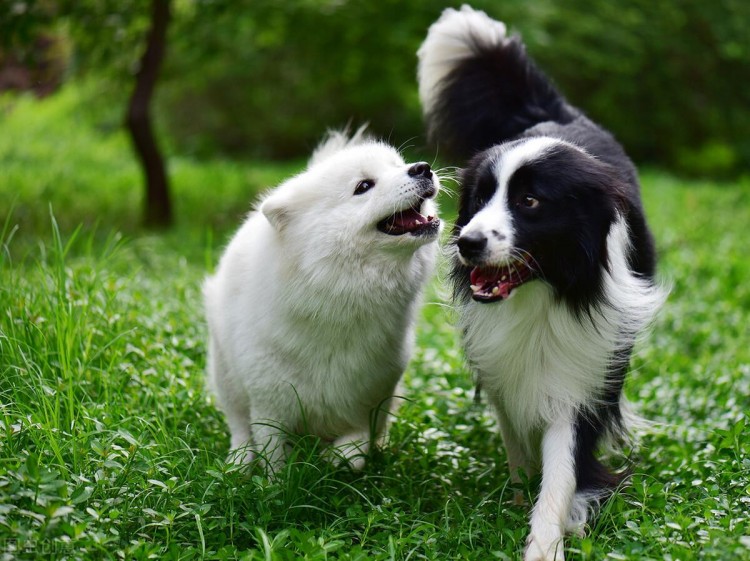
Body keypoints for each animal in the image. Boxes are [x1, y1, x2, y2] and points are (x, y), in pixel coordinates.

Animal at [203, 129, 444, 470]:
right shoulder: (268, 398)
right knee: (238, 423)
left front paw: (338, 458)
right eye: (364, 186)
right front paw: (277, 480)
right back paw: (239, 460)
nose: (422, 168)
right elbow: (271, 450)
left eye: (397, 165)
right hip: (227, 375)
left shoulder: (373, 393)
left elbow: (357, 443)